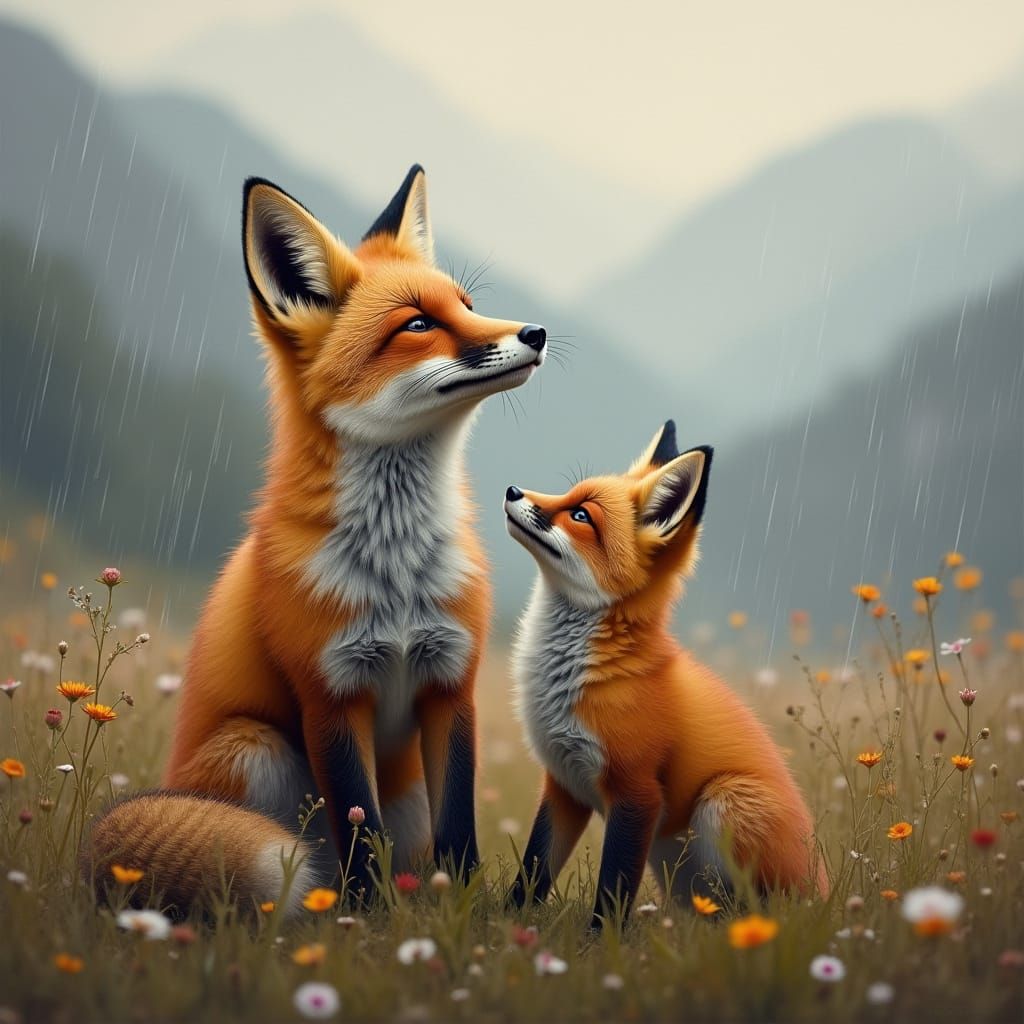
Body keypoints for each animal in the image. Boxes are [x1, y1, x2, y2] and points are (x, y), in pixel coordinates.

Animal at [86, 166, 548, 912]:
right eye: (418, 324)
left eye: (469, 304)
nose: (536, 331)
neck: (397, 577)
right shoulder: (329, 692)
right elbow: (358, 827)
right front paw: (365, 917)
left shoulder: (451, 682)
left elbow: (459, 830)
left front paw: (460, 911)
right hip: (256, 747)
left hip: (402, 788)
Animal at [504, 421, 828, 928]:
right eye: (568, 494)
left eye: (580, 515)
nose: (512, 490)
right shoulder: (563, 785)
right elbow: (532, 873)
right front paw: (505, 925)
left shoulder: (637, 794)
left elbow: (612, 891)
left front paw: (600, 942)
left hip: (724, 801)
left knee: (759, 913)